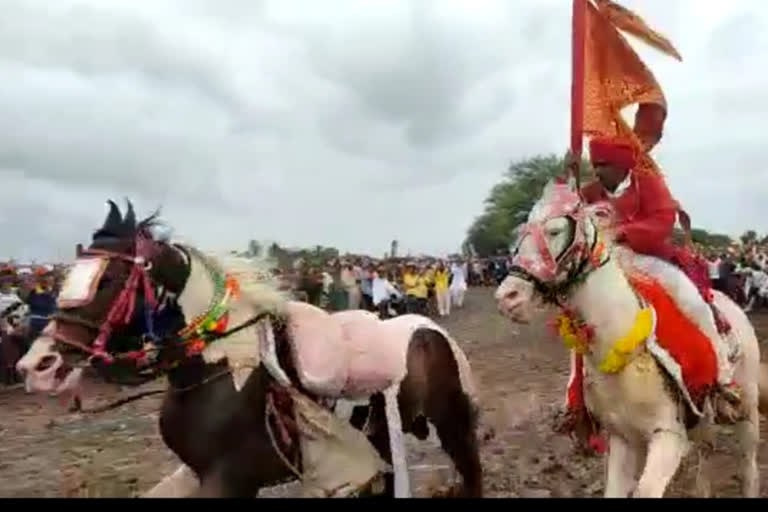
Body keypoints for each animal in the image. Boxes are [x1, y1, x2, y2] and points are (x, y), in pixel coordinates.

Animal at [15, 202, 480, 498]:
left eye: (109, 280)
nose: (38, 365)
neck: (219, 369)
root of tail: (430, 329)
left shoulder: (230, 479)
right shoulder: (200, 474)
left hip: (452, 423)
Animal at [496, 180, 764, 496]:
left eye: (554, 231)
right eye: (521, 235)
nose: (507, 297)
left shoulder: (668, 436)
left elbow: (645, 489)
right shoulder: (623, 438)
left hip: (747, 409)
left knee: (748, 464)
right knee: (707, 456)